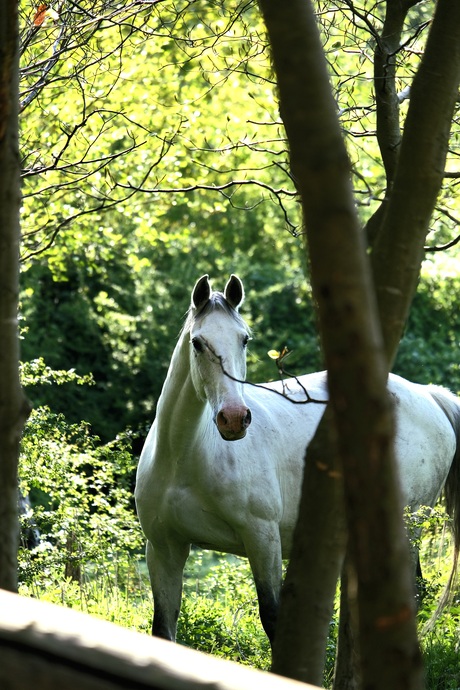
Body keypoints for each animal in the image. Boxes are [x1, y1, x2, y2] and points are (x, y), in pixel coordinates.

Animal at [135, 274, 460, 646]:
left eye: (244, 339)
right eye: (198, 342)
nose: (234, 418)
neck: (185, 457)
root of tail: (429, 395)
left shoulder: (263, 540)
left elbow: (273, 617)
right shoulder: (164, 550)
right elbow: (163, 627)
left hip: (408, 527)